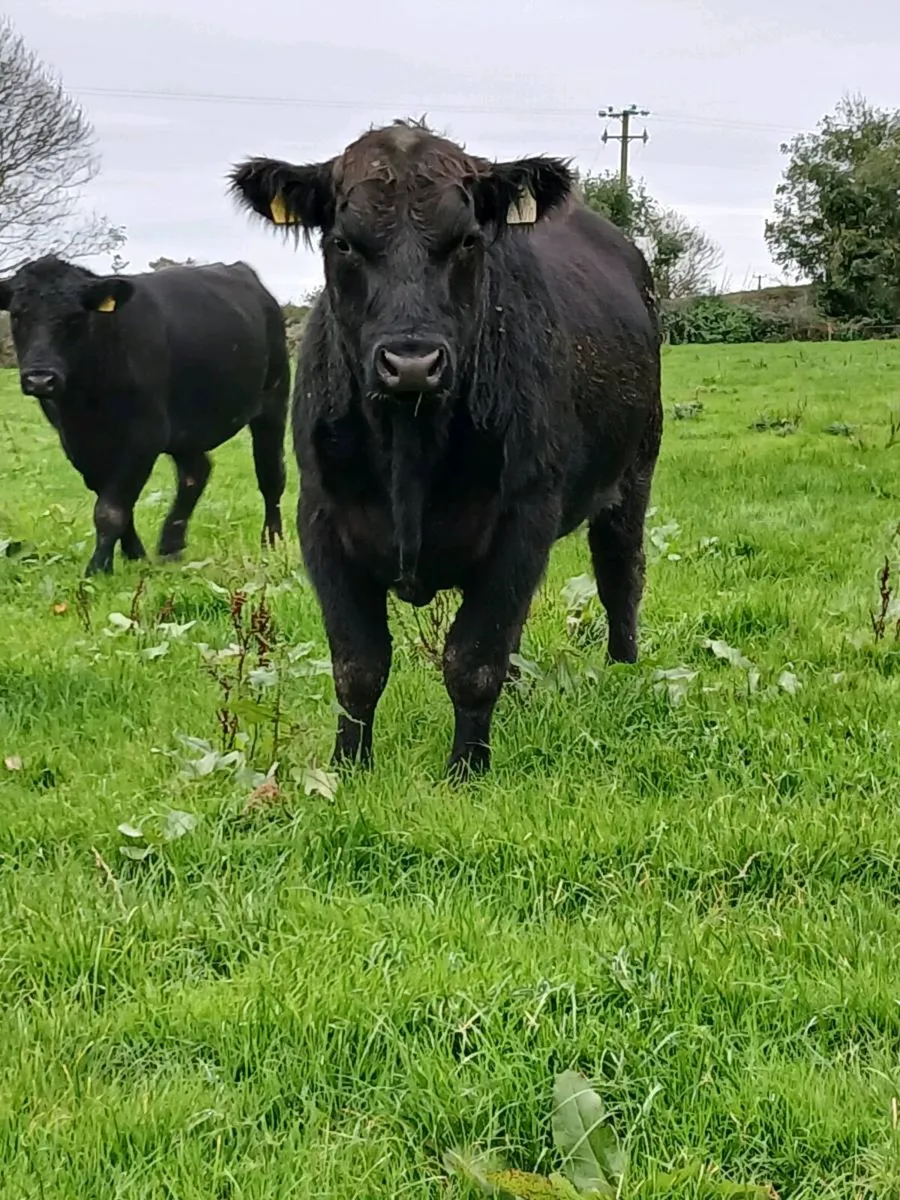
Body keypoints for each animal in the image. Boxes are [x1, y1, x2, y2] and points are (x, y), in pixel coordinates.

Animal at [0, 255, 290, 575]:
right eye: (17, 315)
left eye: (75, 317)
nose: (40, 379)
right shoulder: (76, 443)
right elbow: (113, 500)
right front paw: (135, 556)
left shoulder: (145, 436)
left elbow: (111, 509)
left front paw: (98, 569)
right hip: (184, 429)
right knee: (195, 473)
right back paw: (170, 547)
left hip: (274, 401)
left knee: (270, 475)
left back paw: (272, 543)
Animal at [227, 118, 662, 779]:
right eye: (344, 243)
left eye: (466, 242)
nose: (411, 362)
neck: (409, 449)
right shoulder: (321, 519)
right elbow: (357, 665)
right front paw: (349, 767)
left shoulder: (523, 519)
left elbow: (472, 660)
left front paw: (467, 770)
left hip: (635, 471)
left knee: (620, 574)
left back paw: (622, 669)